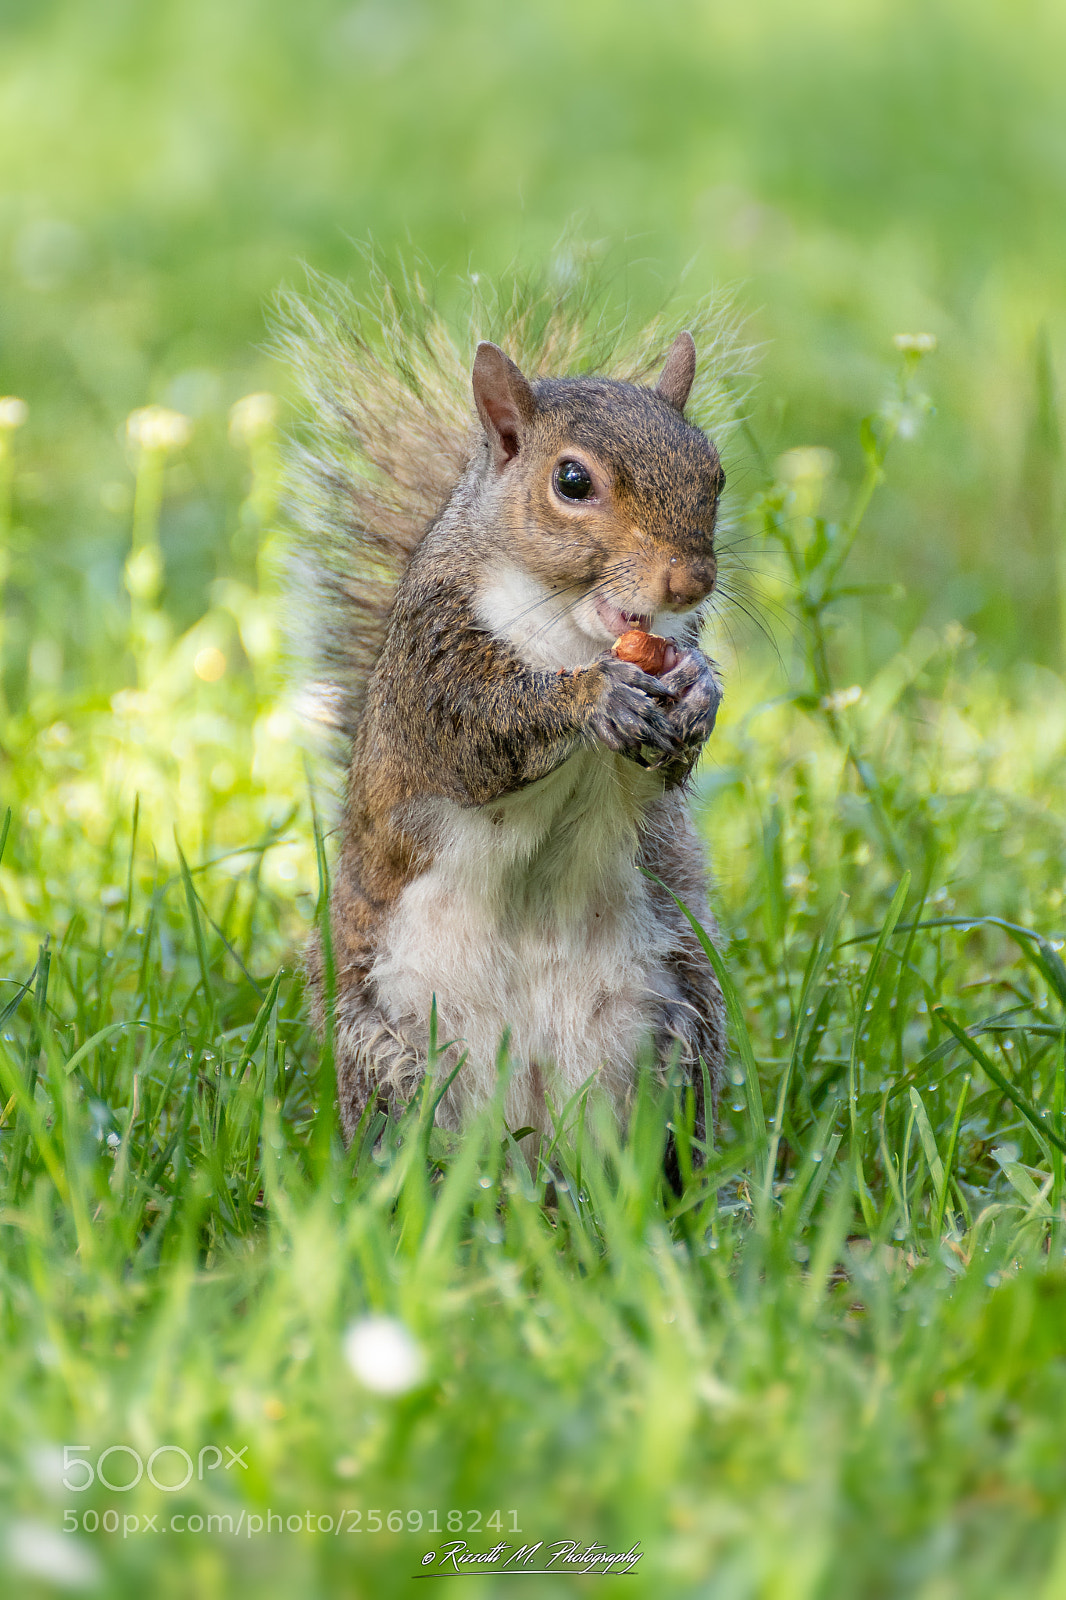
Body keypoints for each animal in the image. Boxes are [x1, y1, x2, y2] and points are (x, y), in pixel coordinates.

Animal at [281, 270, 745, 1155]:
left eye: (717, 474)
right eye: (572, 482)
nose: (691, 582)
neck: (568, 626)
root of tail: (527, 1132)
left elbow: (666, 768)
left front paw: (701, 692)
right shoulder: (430, 668)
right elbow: (478, 733)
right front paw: (594, 697)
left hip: (672, 1032)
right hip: (389, 1051)